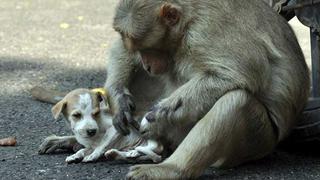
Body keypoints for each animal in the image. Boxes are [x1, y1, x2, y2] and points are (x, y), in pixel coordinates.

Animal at [104, 0, 312, 179]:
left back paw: (172, 168)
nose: (147, 65)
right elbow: (121, 48)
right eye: (138, 49)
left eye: (148, 49)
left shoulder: (205, 32)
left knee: (237, 101)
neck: (186, 23)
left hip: (258, 142)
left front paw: (159, 115)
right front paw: (119, 100)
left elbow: (242, 72)